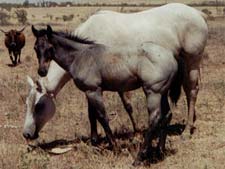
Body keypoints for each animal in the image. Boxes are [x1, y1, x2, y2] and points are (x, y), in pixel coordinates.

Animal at [30, 24, 181, 164]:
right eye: (36, 48)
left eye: (50, 48)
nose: (42, 71)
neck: (81, 56)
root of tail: (171, 56)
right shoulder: (90, 92)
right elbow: (92, 116)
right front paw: (95, 143)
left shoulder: (94, 91)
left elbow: (102, 117)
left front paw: (115, 147)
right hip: (162, 92)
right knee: (167, 115)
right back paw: (159, 151)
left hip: (153, 92)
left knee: (155, 118)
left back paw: (140, 157)